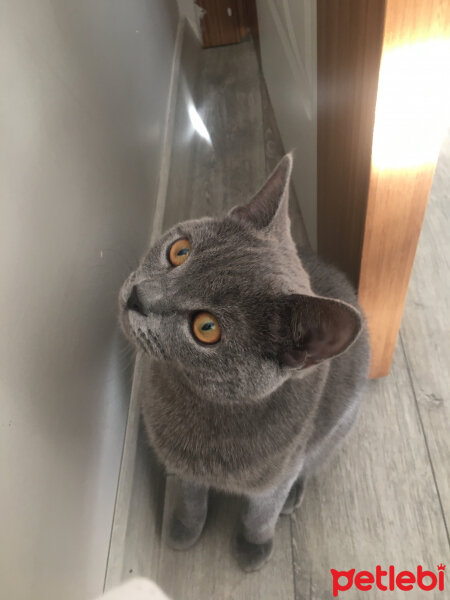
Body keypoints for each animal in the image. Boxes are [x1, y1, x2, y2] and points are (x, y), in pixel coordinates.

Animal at [118, 154, 370, 572]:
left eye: (207, 328)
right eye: (179, 251)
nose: (137, 296)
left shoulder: (277, 473)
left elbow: (260, 514)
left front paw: (254, 547)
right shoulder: (181, 464)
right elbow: (189, 497)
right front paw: (183, 530)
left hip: (339, 426)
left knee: (311, 463)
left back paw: (293, 498)